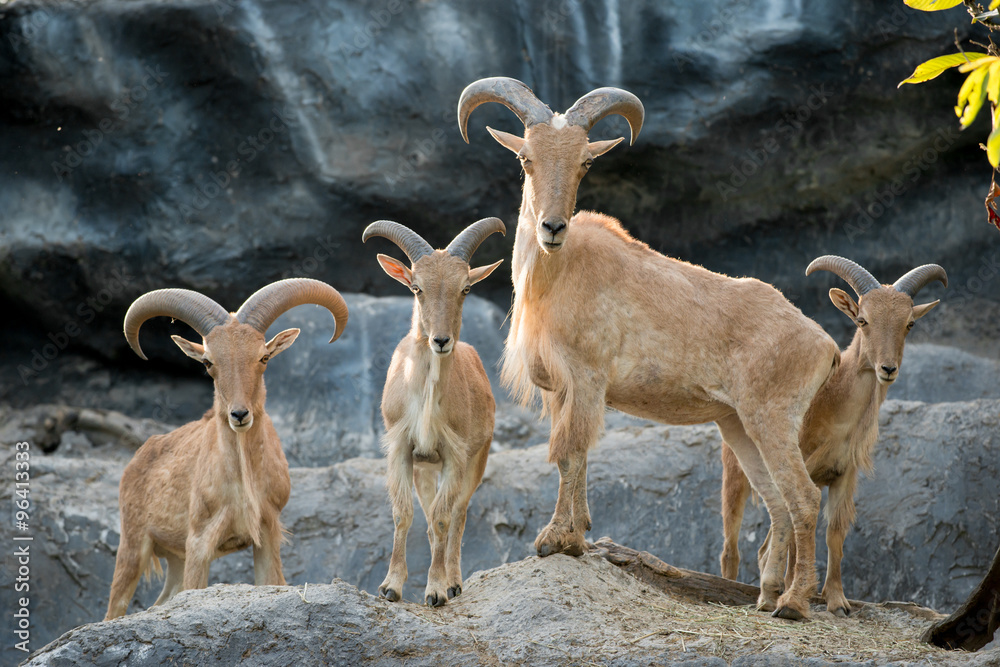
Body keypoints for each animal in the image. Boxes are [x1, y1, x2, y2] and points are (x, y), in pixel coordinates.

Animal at [105, 278, 348, 620]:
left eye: (263, 357)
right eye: (208, 363)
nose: (239, 414)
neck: (243, 484)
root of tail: (137, 460)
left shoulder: (267, 535)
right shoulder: (199, 544)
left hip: (174, 558)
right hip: (133, 544)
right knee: (115, 608)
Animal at [364, 217, 504, 608]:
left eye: (466, 288)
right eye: (416, 288)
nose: (440, 341)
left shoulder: (456, 453)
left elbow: (444, 518)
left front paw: (437, 590)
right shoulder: (401, 448)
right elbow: (404, 514)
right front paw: (390, 587)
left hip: (476, 459)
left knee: (458, 514)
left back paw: (453, 581)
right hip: (425, 468)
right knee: (428, 517)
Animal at [720, 256, 944, 616]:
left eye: (909, 324)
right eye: (863, 320)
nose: (888, 369)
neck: (834, 406)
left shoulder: (843, 475)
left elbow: (834, 534)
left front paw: (836, 600)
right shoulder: (804, 464)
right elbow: (799, 530)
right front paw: (795, 594)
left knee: (765, 543)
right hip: (735, 471)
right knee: (731, 544)